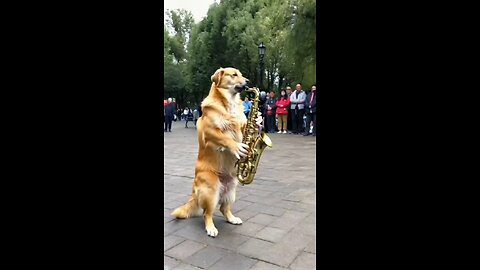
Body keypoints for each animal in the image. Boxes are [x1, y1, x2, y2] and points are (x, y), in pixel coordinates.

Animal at [171, 67, 262, 236]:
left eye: (241, 74)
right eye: (234, 75)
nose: (248, 82)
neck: (229, 102)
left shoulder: (242, 126)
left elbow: (248, 126)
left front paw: (258, 120)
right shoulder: (210, 131)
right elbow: (225, 139)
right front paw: (238, 148)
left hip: (231, 190)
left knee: (224, 209)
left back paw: (232, 219)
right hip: (211, 191)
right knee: (207, 213)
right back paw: (211, 229)